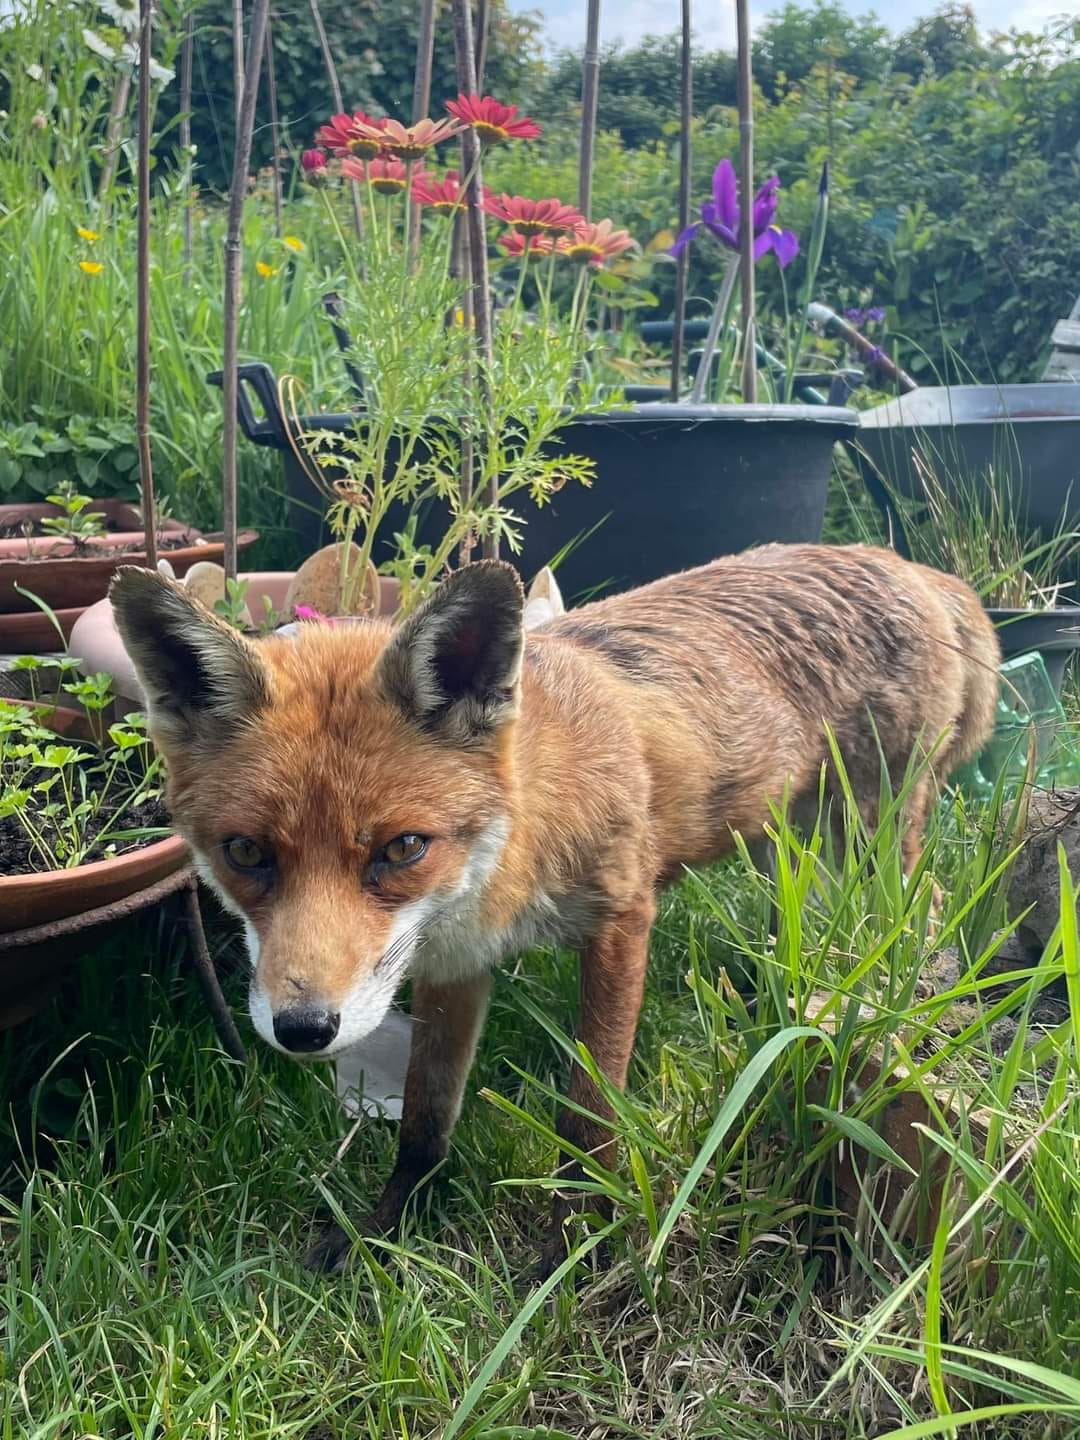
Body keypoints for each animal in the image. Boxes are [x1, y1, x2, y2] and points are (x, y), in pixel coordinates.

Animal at [109, 542, 1000, 1276]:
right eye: (246, 854)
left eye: (402, 848)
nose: (303, 1030)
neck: (509, 857)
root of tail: (907, 564)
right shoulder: (453, 964)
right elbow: (425, 1119)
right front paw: (386, 1230)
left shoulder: (621, 921)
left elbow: (590, 1113)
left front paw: (578, 1239)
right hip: (794, 844)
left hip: (872, 841)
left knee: (924, 910)